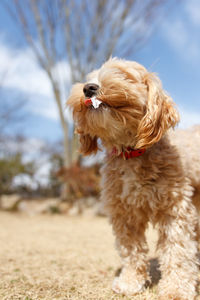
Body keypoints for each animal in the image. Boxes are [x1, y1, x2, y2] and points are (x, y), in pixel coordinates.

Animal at [67, 58, 200, 300]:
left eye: (123, 75)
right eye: (90, 78)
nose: (88, 88)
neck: (131, 153)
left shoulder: (175, 209)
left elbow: (177, 249)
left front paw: (176, 289)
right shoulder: (123, 213)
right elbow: (131, 250)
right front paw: (130, 283)